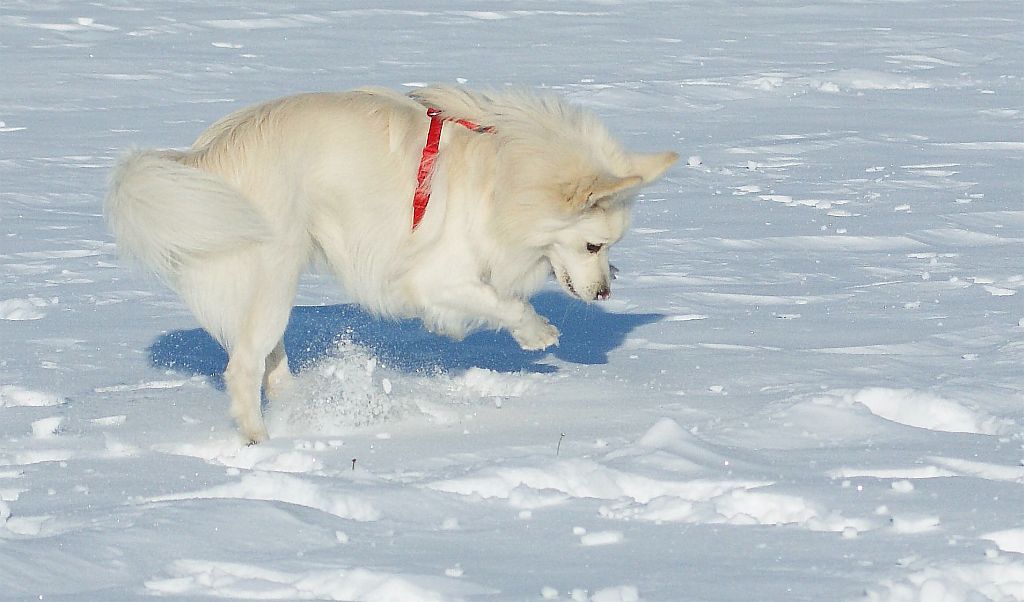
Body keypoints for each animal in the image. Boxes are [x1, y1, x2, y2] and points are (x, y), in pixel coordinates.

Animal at [105, 86, 679, 442]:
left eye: (612, 248)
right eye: (594, 247)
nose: (605, 294)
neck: (502, 179)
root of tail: (204, 159)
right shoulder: (432, 277)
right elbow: (504, 302)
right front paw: (537, 335)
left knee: (267, 361)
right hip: (273, 274)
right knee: (243, 367)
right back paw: (262, 443)